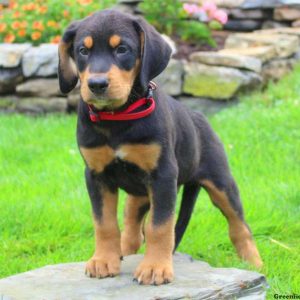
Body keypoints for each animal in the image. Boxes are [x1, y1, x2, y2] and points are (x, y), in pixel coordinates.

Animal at [57, 9, 262, 286]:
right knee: (132, 229)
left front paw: (155, 267)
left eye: (122, 49)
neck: (118, 119)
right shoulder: (96, 175)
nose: (97, 85)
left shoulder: (163, 176)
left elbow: (160, 226)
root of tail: (200, 117)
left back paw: (255, 263)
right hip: (140, 193)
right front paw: (103, 260)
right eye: (82, 50)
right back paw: (123, 251)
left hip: (220, 182)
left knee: (239, 225)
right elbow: (104, 223)